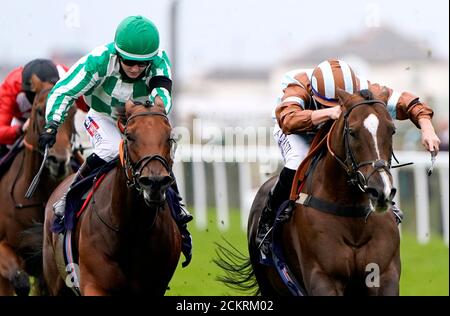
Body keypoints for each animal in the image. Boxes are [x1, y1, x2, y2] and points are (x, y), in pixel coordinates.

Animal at [42, 100, 182, 296]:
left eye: (169, 137)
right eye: (129, 136)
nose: (155, 182)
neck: (132, 229)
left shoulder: (155, 287)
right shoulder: (94, 284)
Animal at [217, 87, 400, 296]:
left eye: (392, 130)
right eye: (352, 132)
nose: (380, 191)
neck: (351, 214)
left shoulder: (384, 274)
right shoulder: (323, 277)